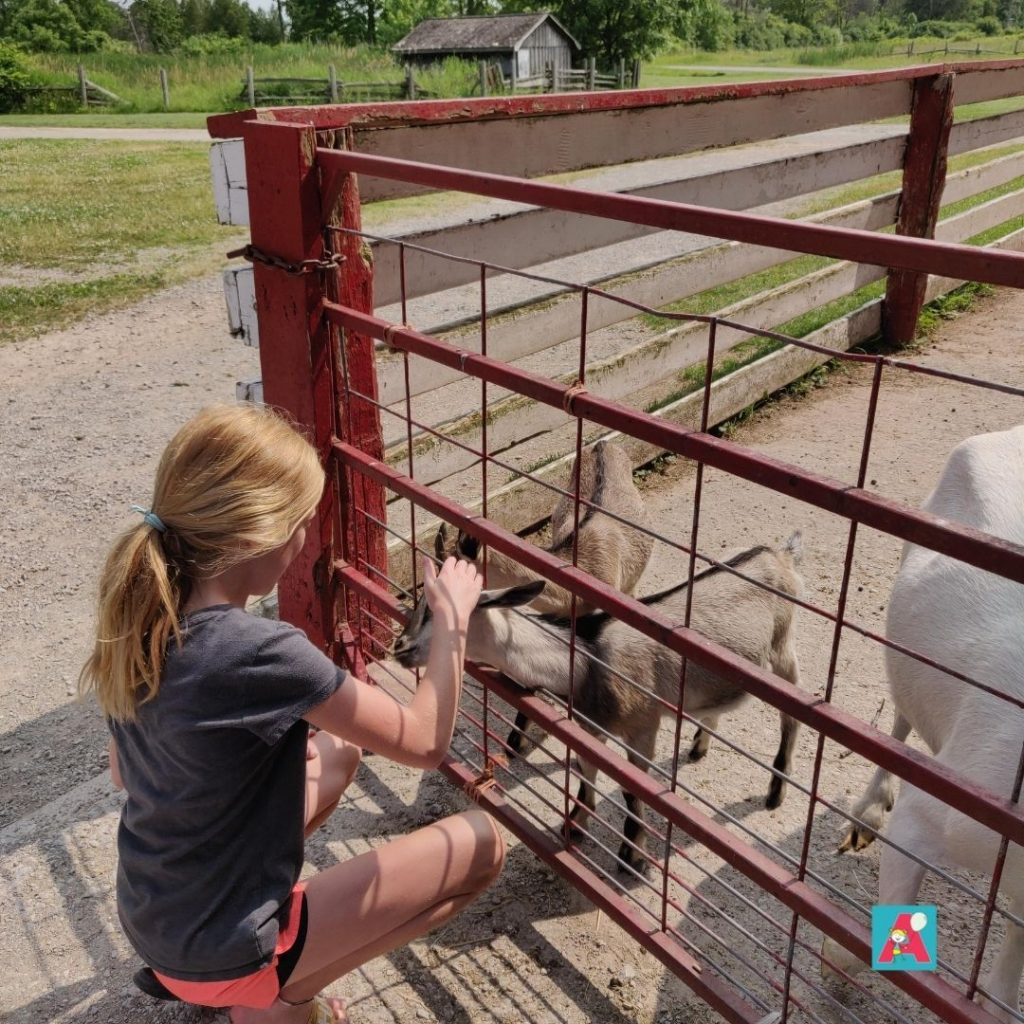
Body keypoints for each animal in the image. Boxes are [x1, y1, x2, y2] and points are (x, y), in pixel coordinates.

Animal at [395, 536, 802, 872]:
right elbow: (584, 769)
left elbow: (632, 789)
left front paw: (632, 857)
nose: (400, 646)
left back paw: (775, 791)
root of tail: (780, 553)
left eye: (440, 610)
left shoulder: (642, 725)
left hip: (782, 651)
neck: (584, 661)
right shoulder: (591, 726)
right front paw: (575, 825)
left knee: (791, 714)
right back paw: (699, 747)